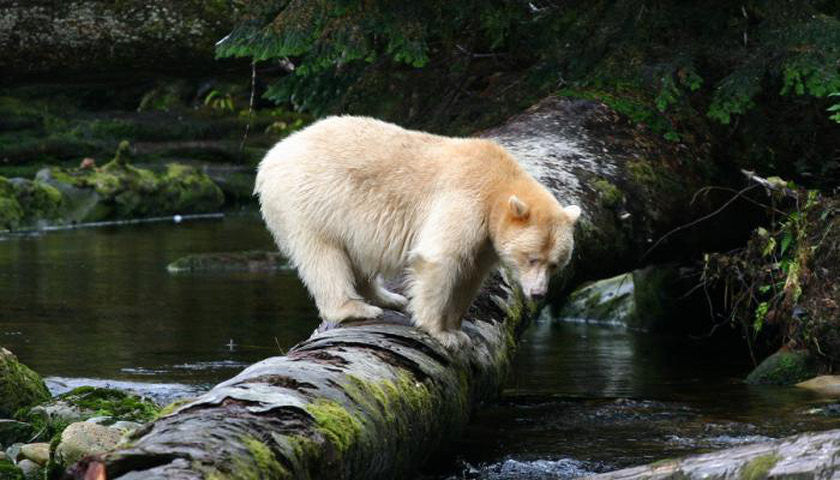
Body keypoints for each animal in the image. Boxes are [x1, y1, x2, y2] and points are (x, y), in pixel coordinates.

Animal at [256, 116, 580, 348]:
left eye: (555, 263)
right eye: (532, 258)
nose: (538, 293)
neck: (497, 182)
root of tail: (271, 157)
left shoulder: (485, 239)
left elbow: (470, 275)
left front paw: (457, 330)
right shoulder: (465, 199)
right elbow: (440, 260)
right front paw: (441, 333)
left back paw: (386, 297)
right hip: (310, 199)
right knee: (323, 254)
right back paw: (354, 308)